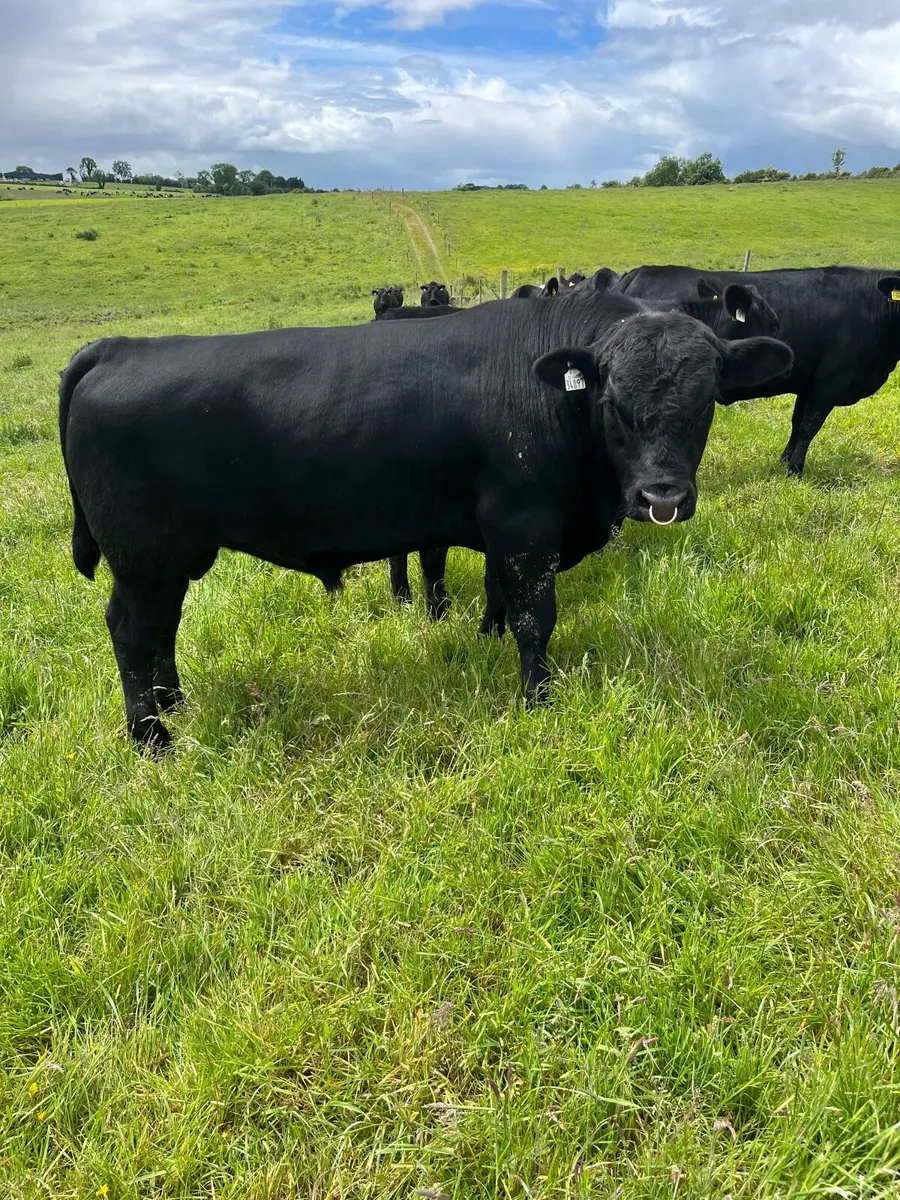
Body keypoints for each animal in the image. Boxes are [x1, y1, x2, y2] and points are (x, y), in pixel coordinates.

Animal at [59, 294, 791, 750]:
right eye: (612, 398)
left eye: (705, 401)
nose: (661, 494)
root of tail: (118, 347)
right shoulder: (526, 523)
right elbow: (535, 617)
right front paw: (538, 700)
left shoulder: (504, 529)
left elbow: (499, 596)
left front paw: (487, 639)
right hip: (143, 558)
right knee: (132, 632)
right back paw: (153, 737)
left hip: (170, 559)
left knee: (162, 630)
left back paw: (173, 704)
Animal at [616, 265, 900, 476]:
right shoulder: (831, 382)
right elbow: (810, 425)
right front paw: (795, 471)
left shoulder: (809, 384)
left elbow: (798, 422)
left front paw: (785, 461)